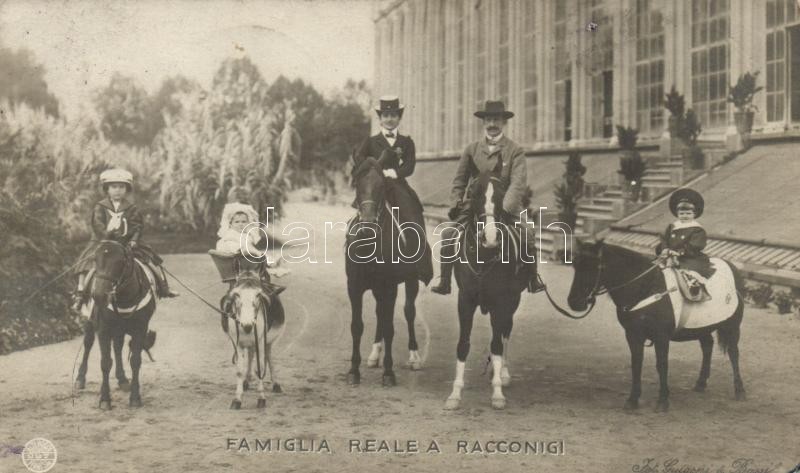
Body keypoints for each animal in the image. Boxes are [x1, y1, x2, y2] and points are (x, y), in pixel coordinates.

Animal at [90, 242, 156, 408]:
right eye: (95, 259)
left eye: (120, 262)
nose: (99, 295)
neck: (124, 299)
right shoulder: (104, 329)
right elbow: (105, 362)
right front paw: (105, 399)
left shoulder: (140, 329)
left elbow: (135, 361)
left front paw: (135, 397)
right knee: (89, 344)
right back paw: (80, 379)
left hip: (120, 329)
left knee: (118, 347)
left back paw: (123, 380)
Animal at [346, 153, 432, 386]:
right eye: (357, 183)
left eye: (381, 186)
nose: (367, 225)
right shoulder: (354, 287)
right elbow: (357, 326)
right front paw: (353, 370)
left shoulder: (389, 287)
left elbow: (390, 327)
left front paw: (389, 372)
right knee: (379, 313)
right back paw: (375, 353)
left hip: (409, 281)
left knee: (408, 312)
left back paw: (413, 356)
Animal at [440, 171, 528, 408]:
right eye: (473, 194)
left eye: (502, 195)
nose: (490, 238)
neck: (484, 256)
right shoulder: (465, 300)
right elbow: (463, 344)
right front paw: (455, 394)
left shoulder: (501, 301)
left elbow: (497, 344)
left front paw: (497, 393)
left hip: (513, 301)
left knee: (505, 332)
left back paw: (502, 373)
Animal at [564, 240, 748, 410]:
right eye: (575, 265)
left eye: (594, 266)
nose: (575, 302)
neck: (646, 288)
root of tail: (732, 267)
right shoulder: (633, 335)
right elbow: (636, 363)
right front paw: (633, 400)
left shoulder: (661, 337)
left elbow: (662, 364)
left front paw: (663, 401)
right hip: (703, 327)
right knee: (707, 346)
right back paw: (701, 383)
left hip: (732, 326)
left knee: (733, 353)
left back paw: (739, 391)